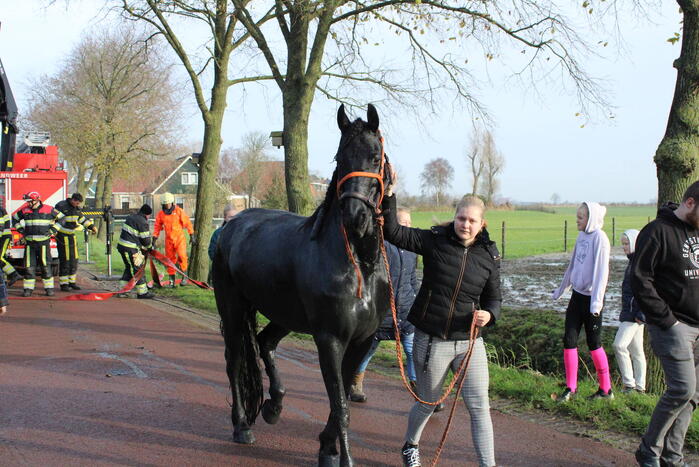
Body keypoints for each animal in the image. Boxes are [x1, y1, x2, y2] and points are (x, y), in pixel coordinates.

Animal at [213, 104, 392, 467]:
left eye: (375, 155)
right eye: (340, 156)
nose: (354, 216)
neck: (359, 266)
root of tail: (230, 225)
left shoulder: (361, 341)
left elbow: (342, 402)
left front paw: (326, 448)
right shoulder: (330, 339)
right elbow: (340, 407)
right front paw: (340, 457)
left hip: (284, 314)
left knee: (265, 342)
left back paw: (274, 405)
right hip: (233, 309)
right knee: (235, 361)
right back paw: (242, 425)